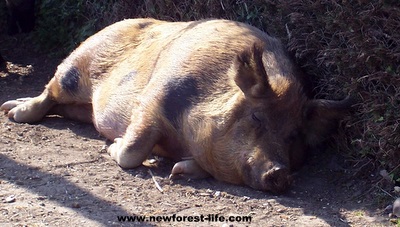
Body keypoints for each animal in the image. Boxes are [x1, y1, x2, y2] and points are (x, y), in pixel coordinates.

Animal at [0, 18, 350, 193]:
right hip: (74, 66)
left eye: (293, 135)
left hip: (81, 104)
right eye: (256, 117)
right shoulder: (152, 100)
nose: (281, 172)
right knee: (49, 92)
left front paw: (177, 172)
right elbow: (133, 149)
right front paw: (114, 146)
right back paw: (12, 111)